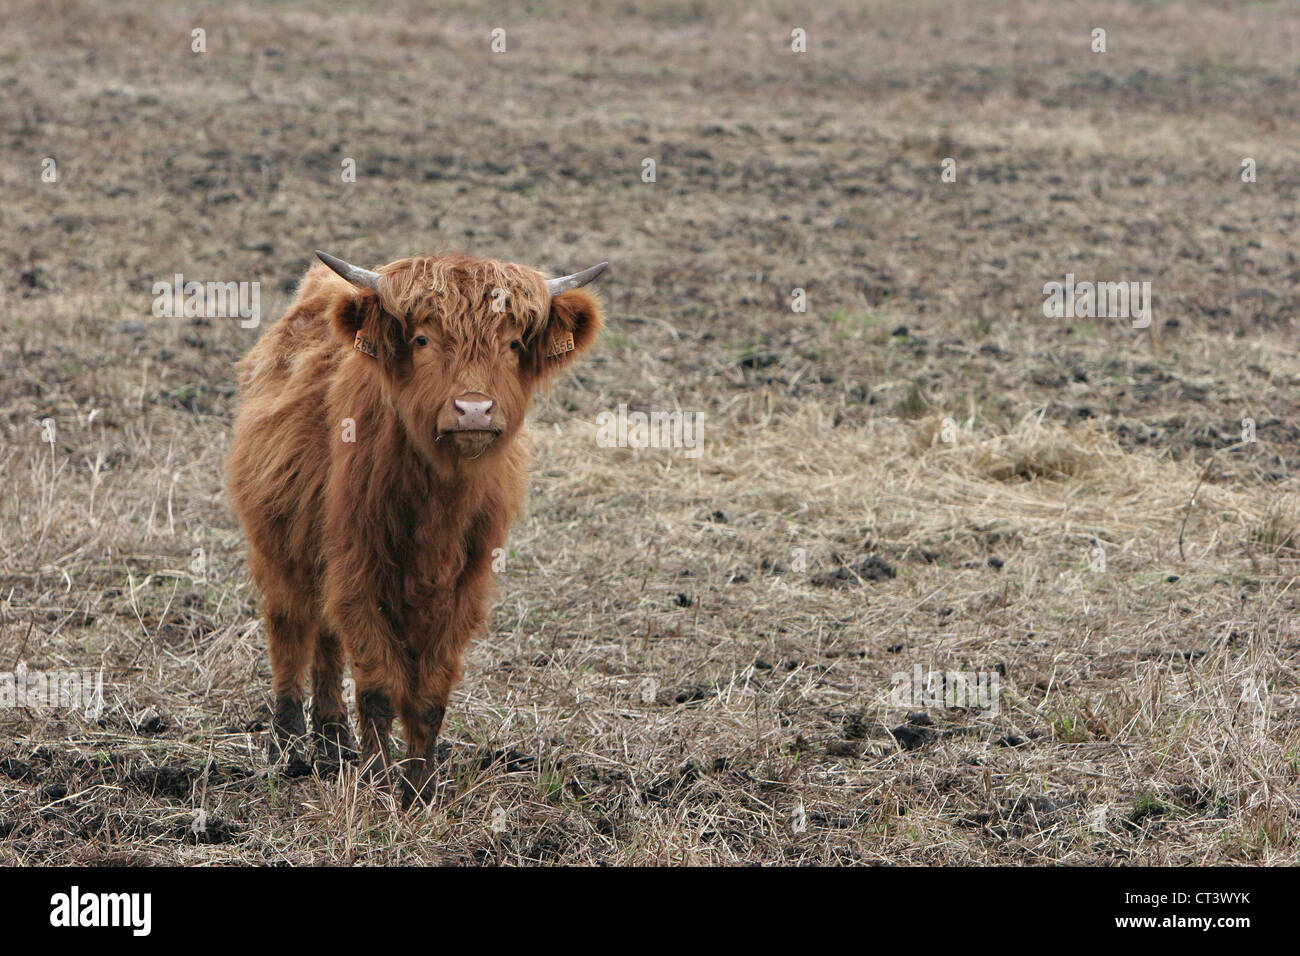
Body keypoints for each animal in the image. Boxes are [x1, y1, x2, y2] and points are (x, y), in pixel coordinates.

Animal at [226, 251, 605, 806]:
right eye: (423, 340)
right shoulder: (357, 574)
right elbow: (379, 687)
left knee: (325, 640)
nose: (474, 409)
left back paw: (333, 740)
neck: (435, 510)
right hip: (278, 544)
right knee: (290, 632)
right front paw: (379, 783)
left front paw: (421, 788)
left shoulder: (465, 586)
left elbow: (430, 694)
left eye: (514, 344)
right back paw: (288, 745)